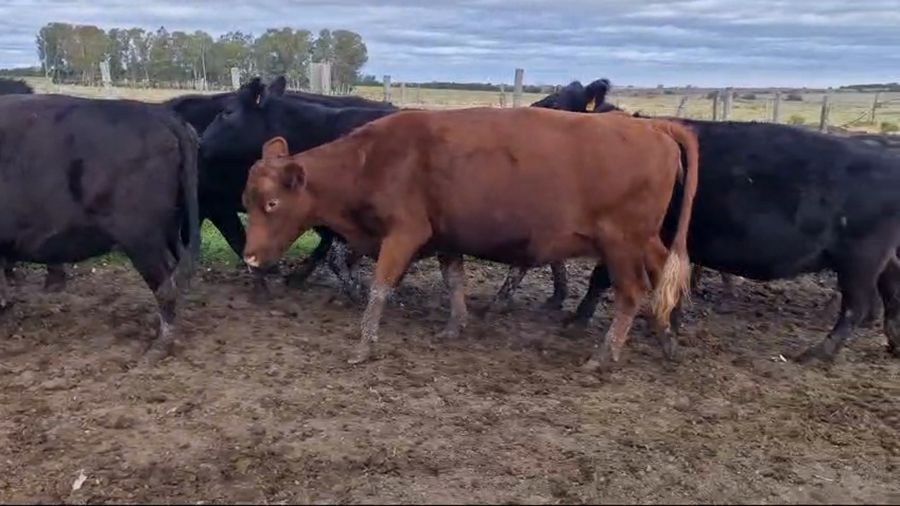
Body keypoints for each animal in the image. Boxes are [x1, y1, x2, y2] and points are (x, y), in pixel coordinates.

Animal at [239, 106, 700, 371]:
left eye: (272, 204)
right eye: (248, 199)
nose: (251, 258)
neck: (373, 159)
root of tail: (654, 128)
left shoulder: (404, 233)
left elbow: (380, 287)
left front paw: (365, 344)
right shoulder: (447, 236)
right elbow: (454, 280)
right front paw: (455, 325)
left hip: (621, 243)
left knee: (632, 292)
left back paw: (605, 355)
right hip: (643, 240)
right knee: (664, 274)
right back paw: (667, 338)